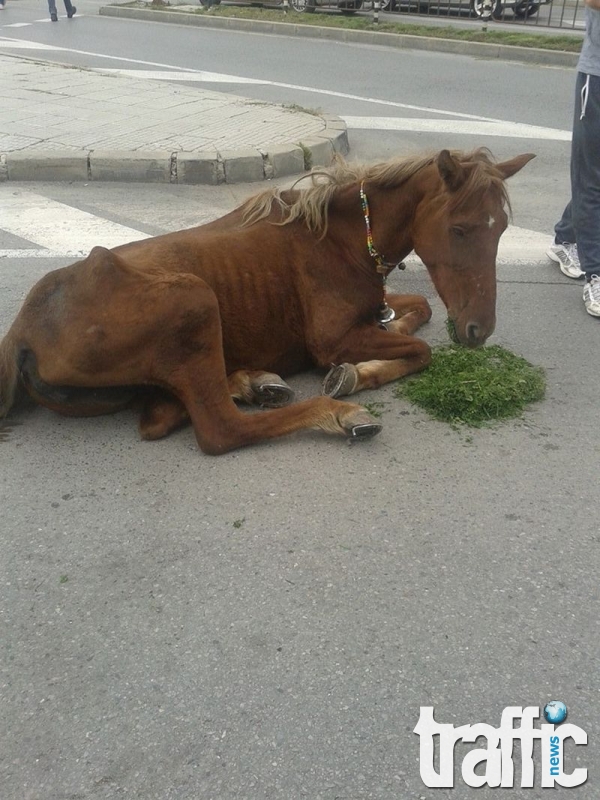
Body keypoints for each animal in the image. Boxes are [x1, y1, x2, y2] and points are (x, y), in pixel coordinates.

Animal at [0, 147, 536, 454]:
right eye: (460, 228)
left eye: (501, 229)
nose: (477, 330)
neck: (339, 237)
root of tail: (20, 335)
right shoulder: (333, 338)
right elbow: (419, 350)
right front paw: (354, 375)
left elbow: (416, 310)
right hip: (195, 300)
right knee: (220, 430)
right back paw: (331, 413)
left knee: (161, 415)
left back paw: (253, 381)